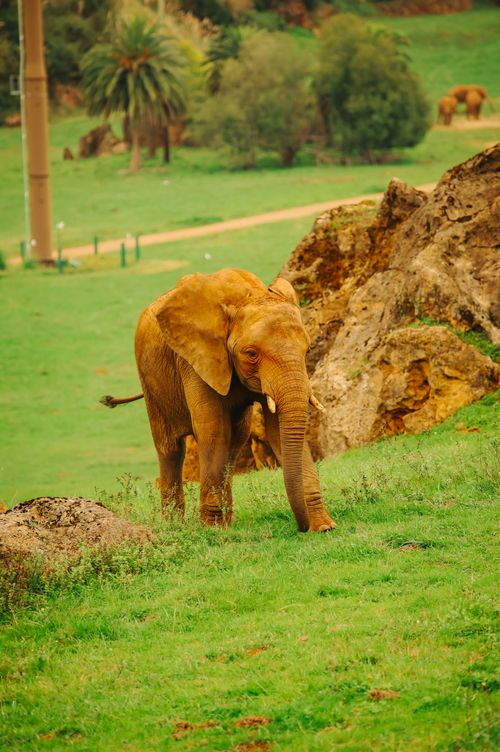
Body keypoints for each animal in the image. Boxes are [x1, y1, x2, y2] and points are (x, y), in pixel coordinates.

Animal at [102, 268, 335, 533]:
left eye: (307, 350)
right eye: (251, 353)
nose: (301, 527)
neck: (247, 295)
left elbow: (276, 428)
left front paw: (324, 527)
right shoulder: (196, 358)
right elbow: (213, 430)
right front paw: (211, 530)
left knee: (235, 440)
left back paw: (226, 521)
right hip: (150, 380)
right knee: (170, 448)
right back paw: (176, 525)